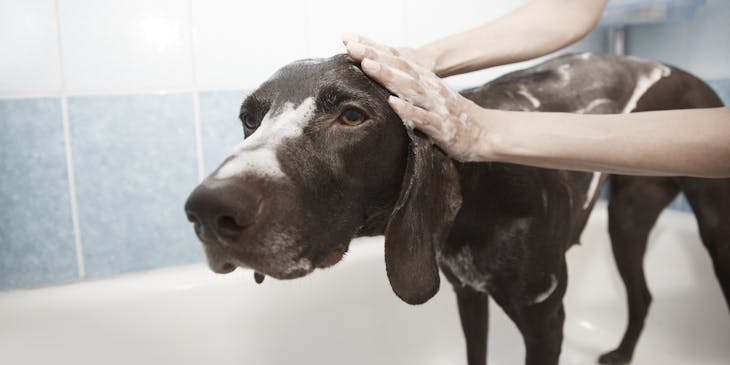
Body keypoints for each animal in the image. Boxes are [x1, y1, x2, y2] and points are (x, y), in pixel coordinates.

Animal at [185, 52, 724, 364]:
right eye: (249, 119)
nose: (207, 211)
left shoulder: (546, 321)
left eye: (352, 116)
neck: (479, 198)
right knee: (643, 296)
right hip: (628, 220)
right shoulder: (468, 295)